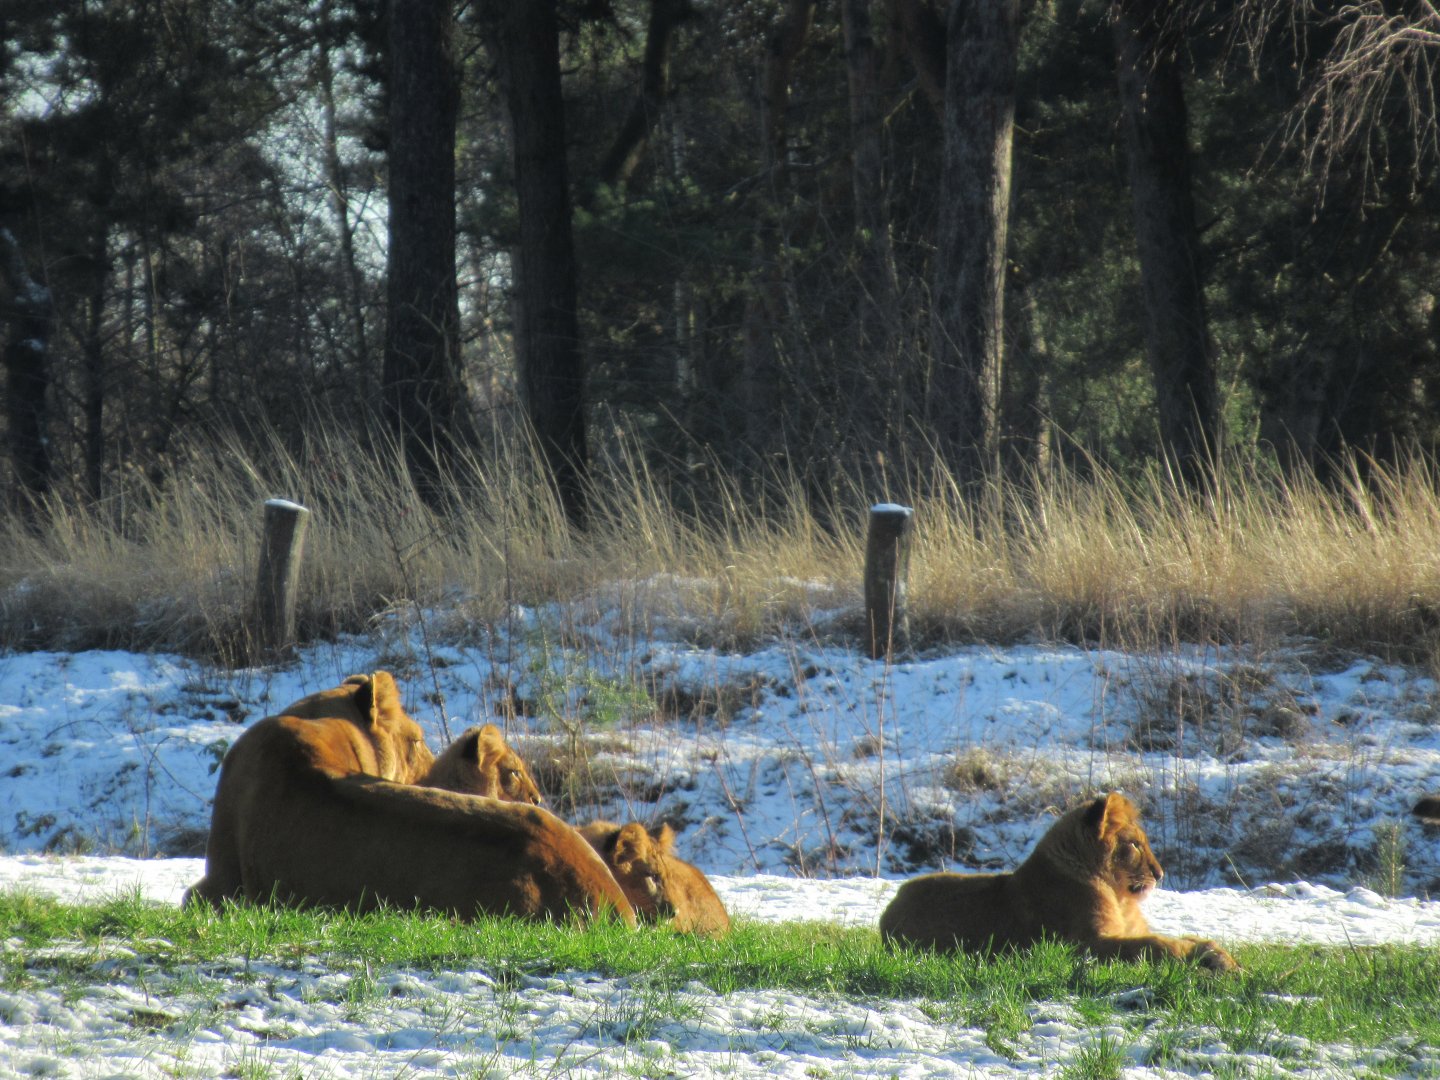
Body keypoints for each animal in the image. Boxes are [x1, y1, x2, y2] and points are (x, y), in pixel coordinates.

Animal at [878, 792, 1237, 971]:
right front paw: (1194, 956)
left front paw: (1222, 958)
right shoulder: (1083, 944)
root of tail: (890, 908)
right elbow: (1154, 944)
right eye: (1134, 844)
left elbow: (1188, 936)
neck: (1119, 896)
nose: (1160, 874)